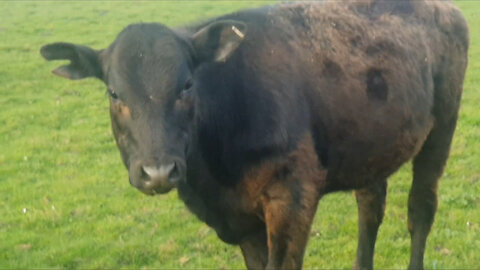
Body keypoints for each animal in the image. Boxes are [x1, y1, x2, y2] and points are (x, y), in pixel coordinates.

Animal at [41, 1, 468, 268]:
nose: (158, 172)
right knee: (370, 205)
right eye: (114, 93)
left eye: (187, 85)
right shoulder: (241, 221)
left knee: (420, 208)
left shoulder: (292, 197)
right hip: (370, 141)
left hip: (442, 129)